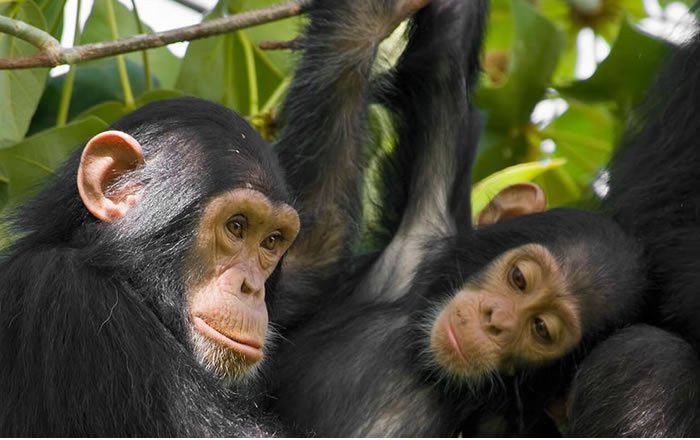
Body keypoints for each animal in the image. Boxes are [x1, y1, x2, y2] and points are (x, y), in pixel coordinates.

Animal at [266, 0, 644, 436]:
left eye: (541, 329)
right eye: (519, 279)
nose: (496, 321)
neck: (426, 363)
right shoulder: (425, 222)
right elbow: (445, 53)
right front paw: (376, 16)